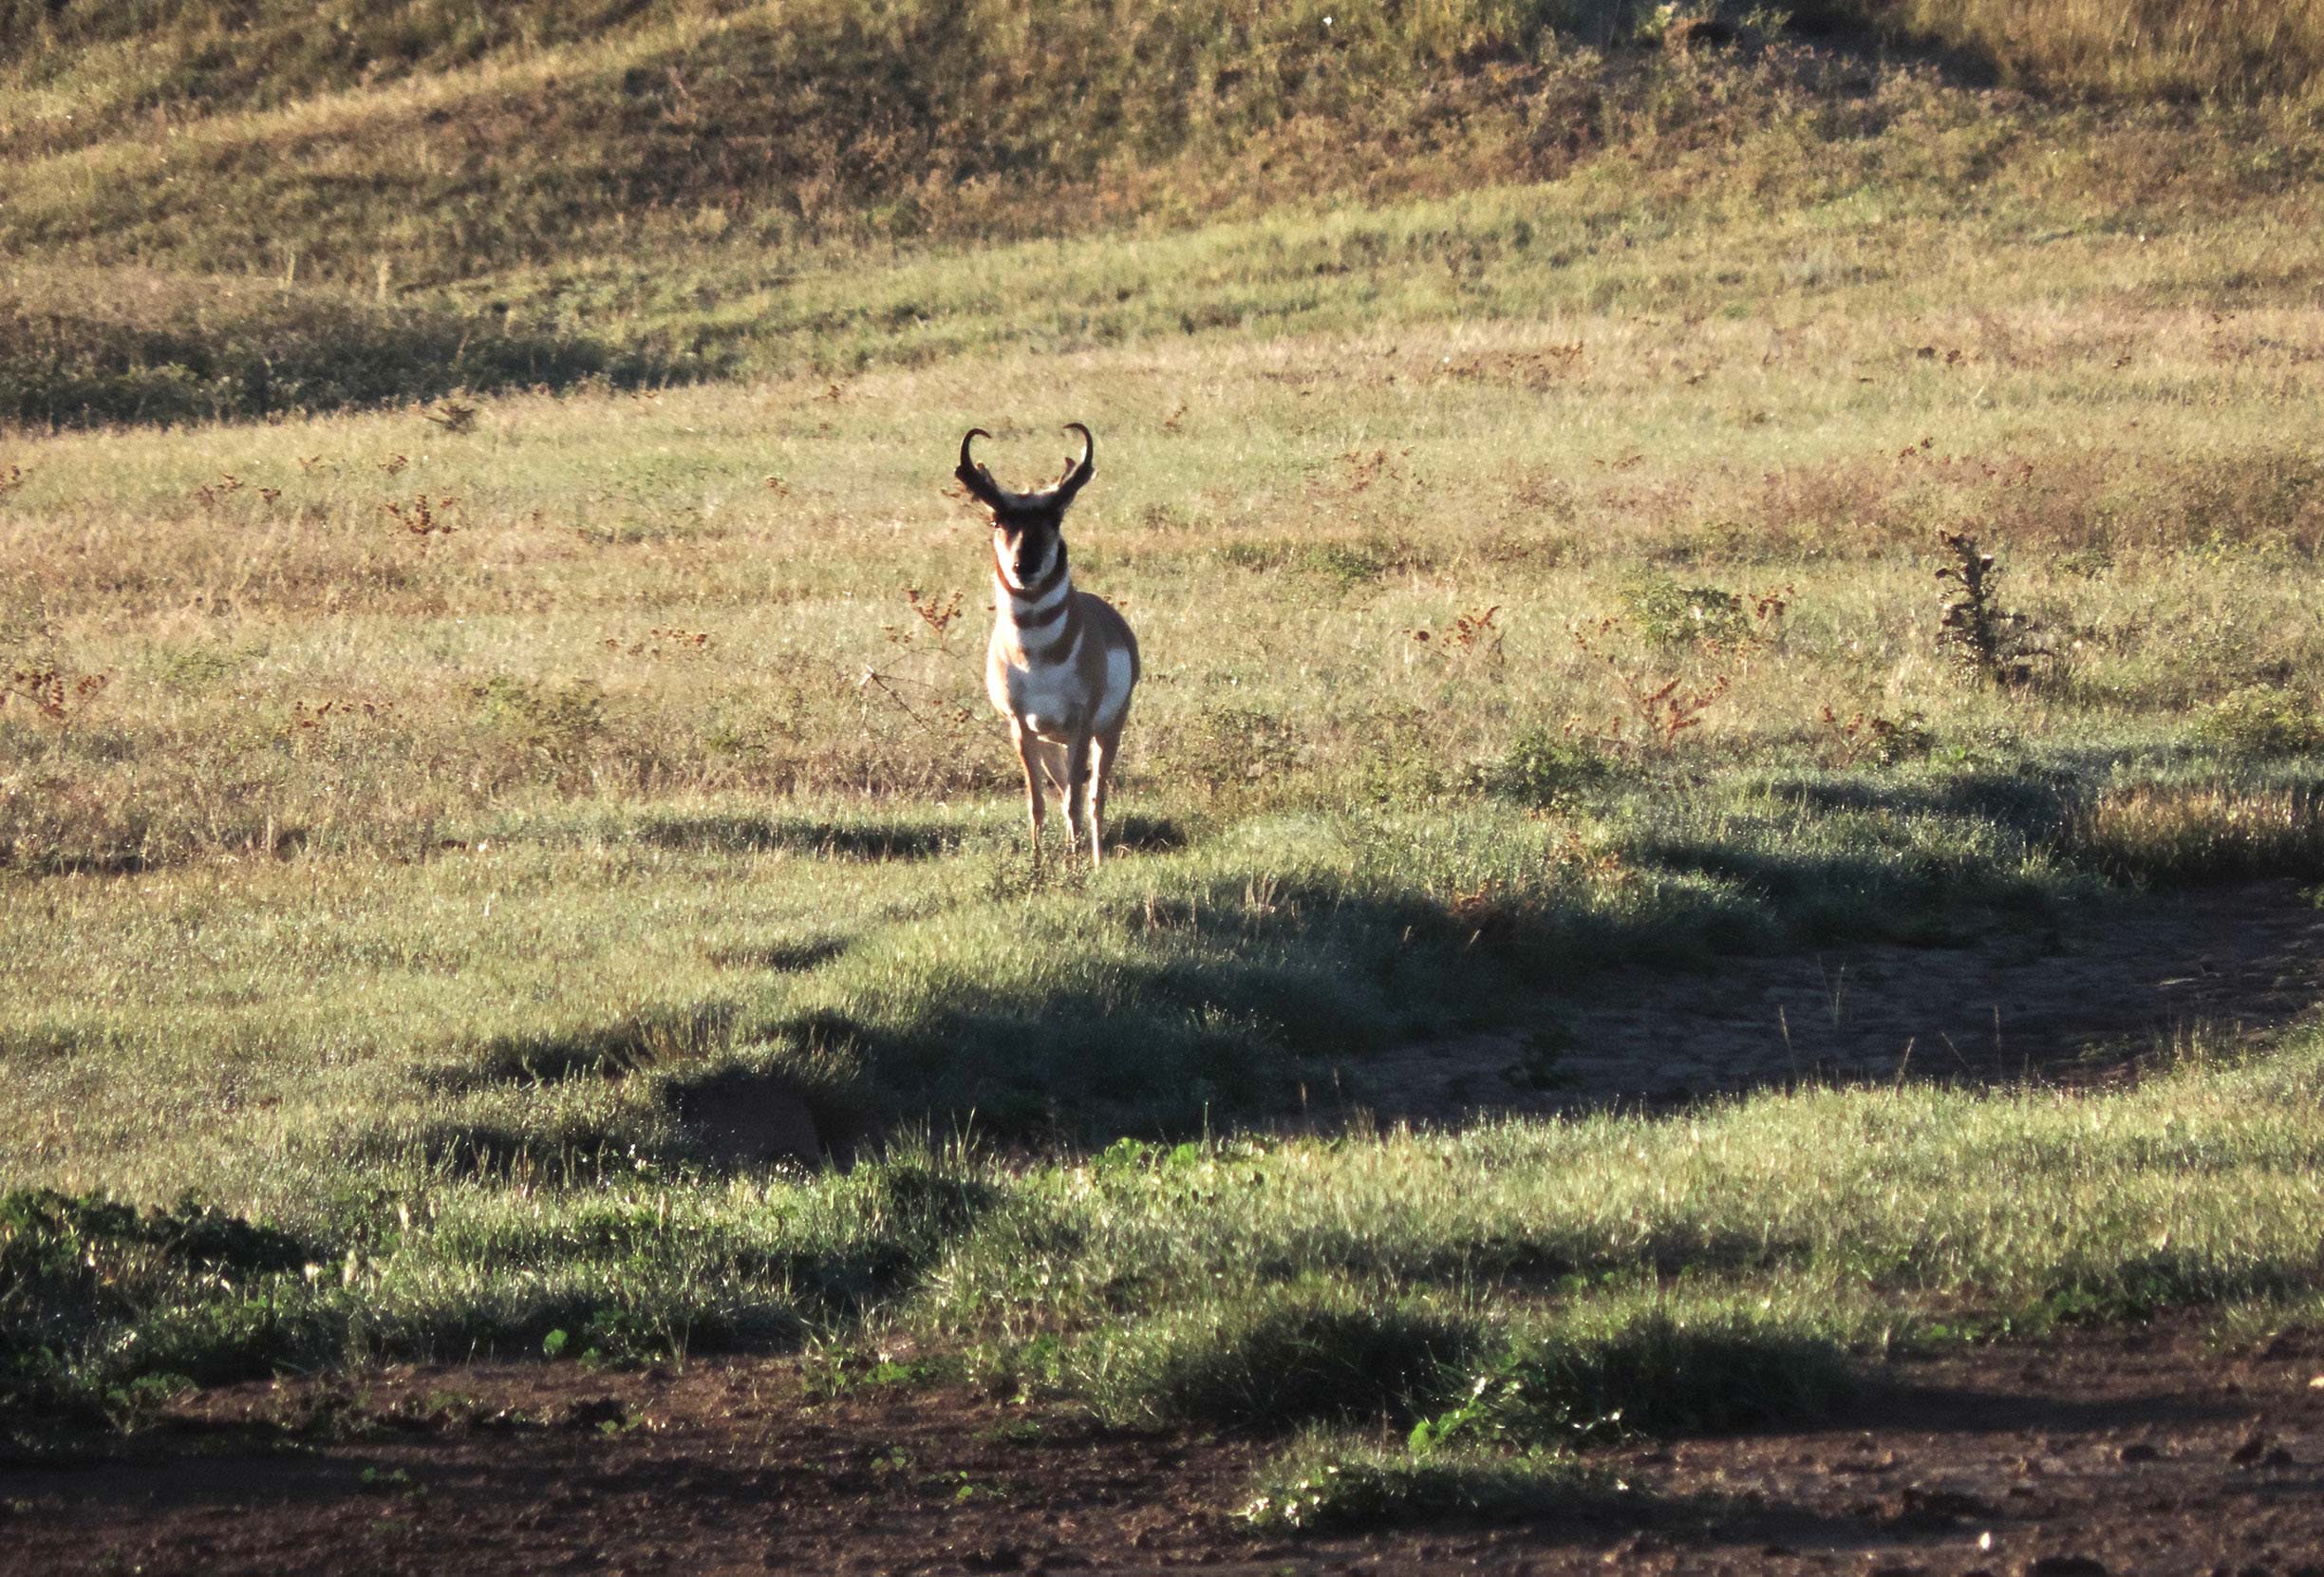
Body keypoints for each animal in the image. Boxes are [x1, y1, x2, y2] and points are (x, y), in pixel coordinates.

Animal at [956, 422, 1140, 868]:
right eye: (996, 519)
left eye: (1056, 516)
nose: (1024, 566)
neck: (1038, 659)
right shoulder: (1021, 726)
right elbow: (1038, 802)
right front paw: (1038, 863)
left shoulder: (1081, 723)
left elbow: (1077, 800)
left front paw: (1075, 867)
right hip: (1051, 741)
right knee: (1065, 792)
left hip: (1108, 730)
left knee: (1094, 797)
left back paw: (1094, 859)